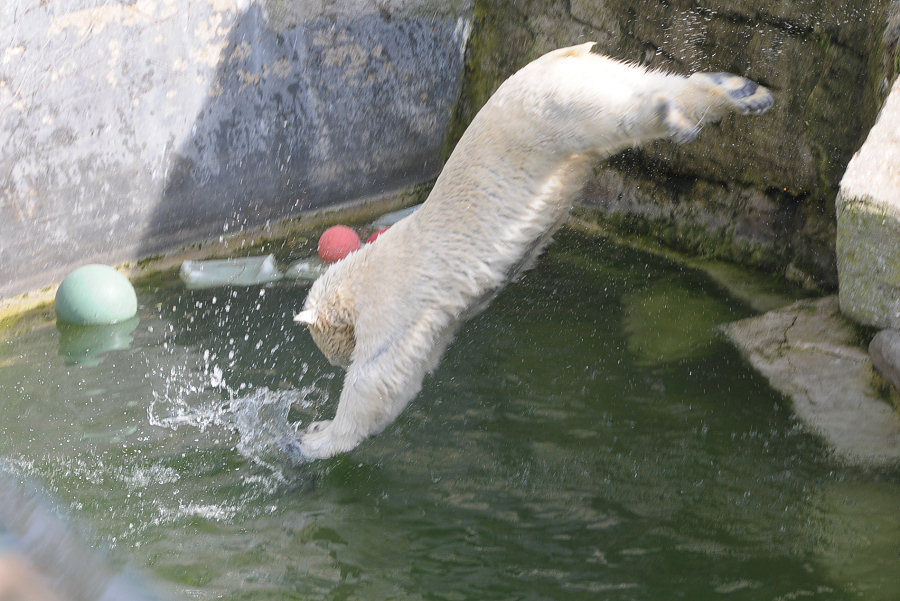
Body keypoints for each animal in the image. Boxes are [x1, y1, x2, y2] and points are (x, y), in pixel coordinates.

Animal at [288, 42, 772, 458]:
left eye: (329, 348)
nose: (335, 363)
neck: (360, 275)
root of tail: (565, 54)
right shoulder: (437, 320)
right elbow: (410, 377)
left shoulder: (394, 303)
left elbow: (378, 377)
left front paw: (315, 439)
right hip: (585, 83)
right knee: (658, 86)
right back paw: (743, 91)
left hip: (546, 112)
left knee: (616, 114)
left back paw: (675, 114)